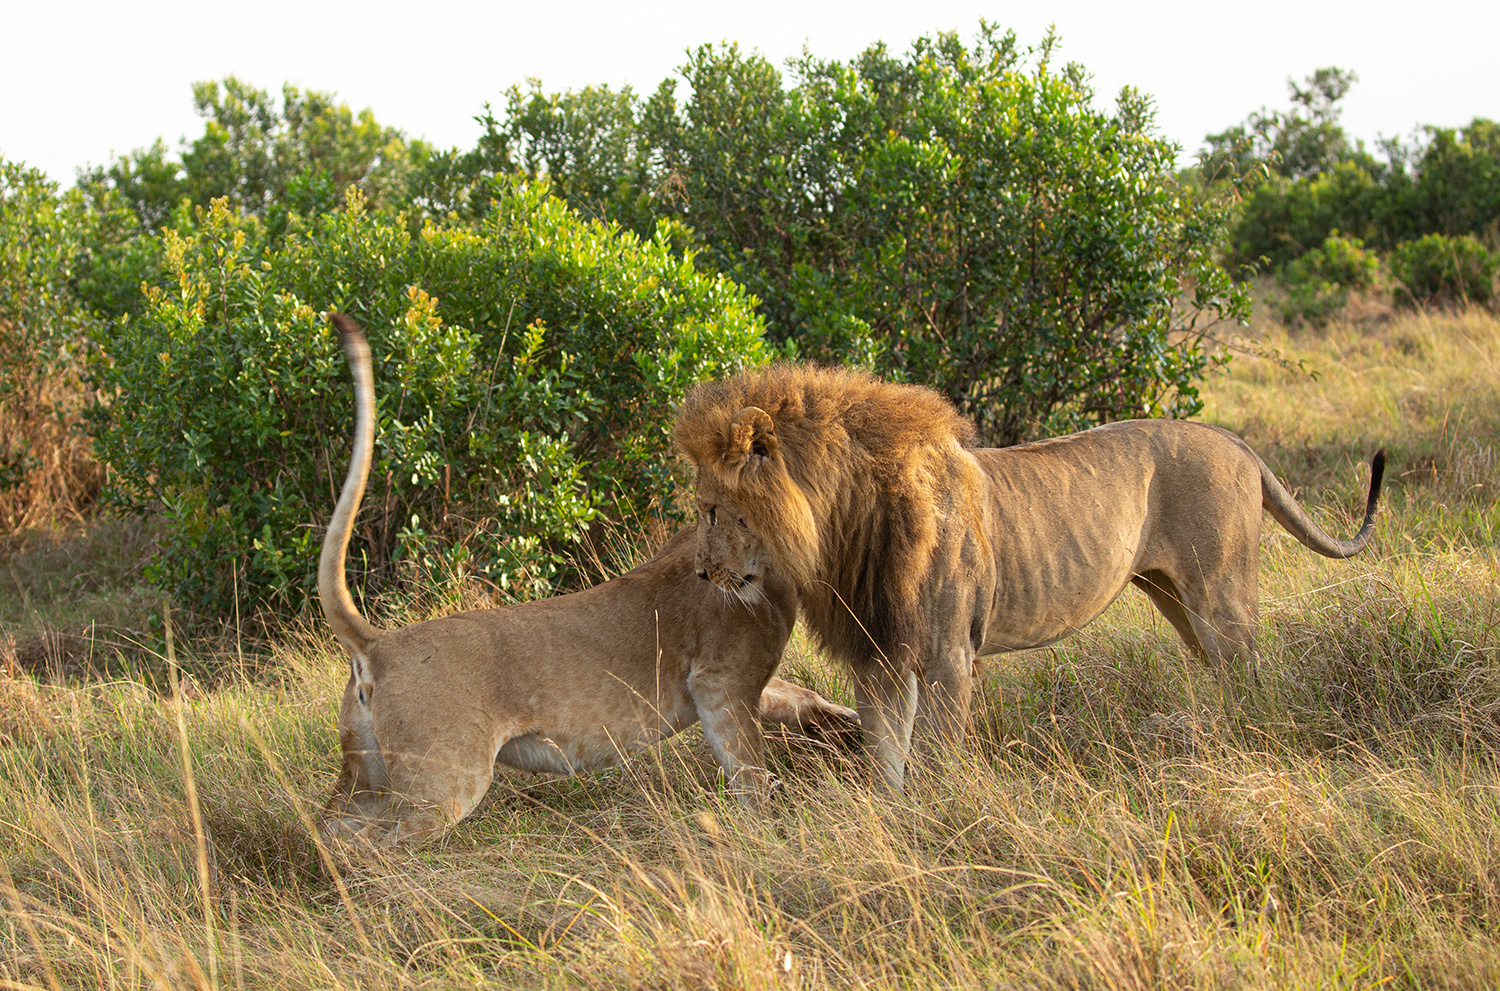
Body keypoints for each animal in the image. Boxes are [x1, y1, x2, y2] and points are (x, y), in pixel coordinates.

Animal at [316, 316, 858, 845]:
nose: (706, 572)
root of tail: (378, 645)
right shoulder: (719, 682)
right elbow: (749, 769)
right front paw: (770, 831)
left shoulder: (746, 684)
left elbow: (799, 697)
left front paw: (846, 721)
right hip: (444, 783)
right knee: (379, 846)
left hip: (366, 776)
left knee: (332, 827)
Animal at [678, 362, 1380, 785]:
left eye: (712, 509)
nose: (704, 574)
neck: (841, 521)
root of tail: (1236, 441)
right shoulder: (880, 654)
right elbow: (885, 758)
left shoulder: (948, 653)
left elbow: (934, 759)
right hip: (1177, 599)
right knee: (1227, 672)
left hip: (1222, 594)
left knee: (1254, 674)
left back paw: (1255, 742)